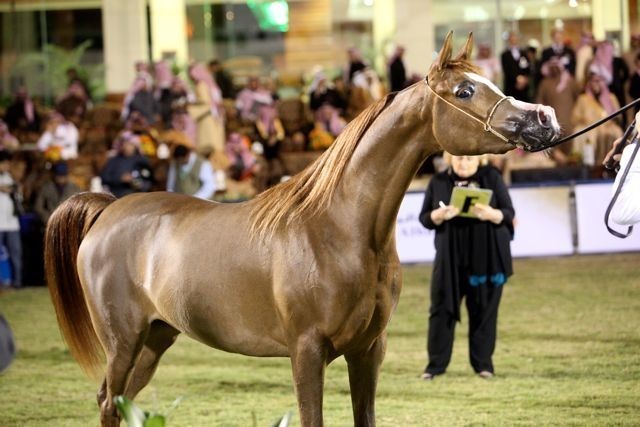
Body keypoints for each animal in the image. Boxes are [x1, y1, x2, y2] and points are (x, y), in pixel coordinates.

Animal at [45, 32, 561, 427]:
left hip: (155, 338)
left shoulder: (368, 350)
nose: (544, 118)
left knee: (121, 403)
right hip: (123, 341)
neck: (338, 230)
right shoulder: (307, 352)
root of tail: (108, 211)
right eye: (465, 91)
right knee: (108, 403)